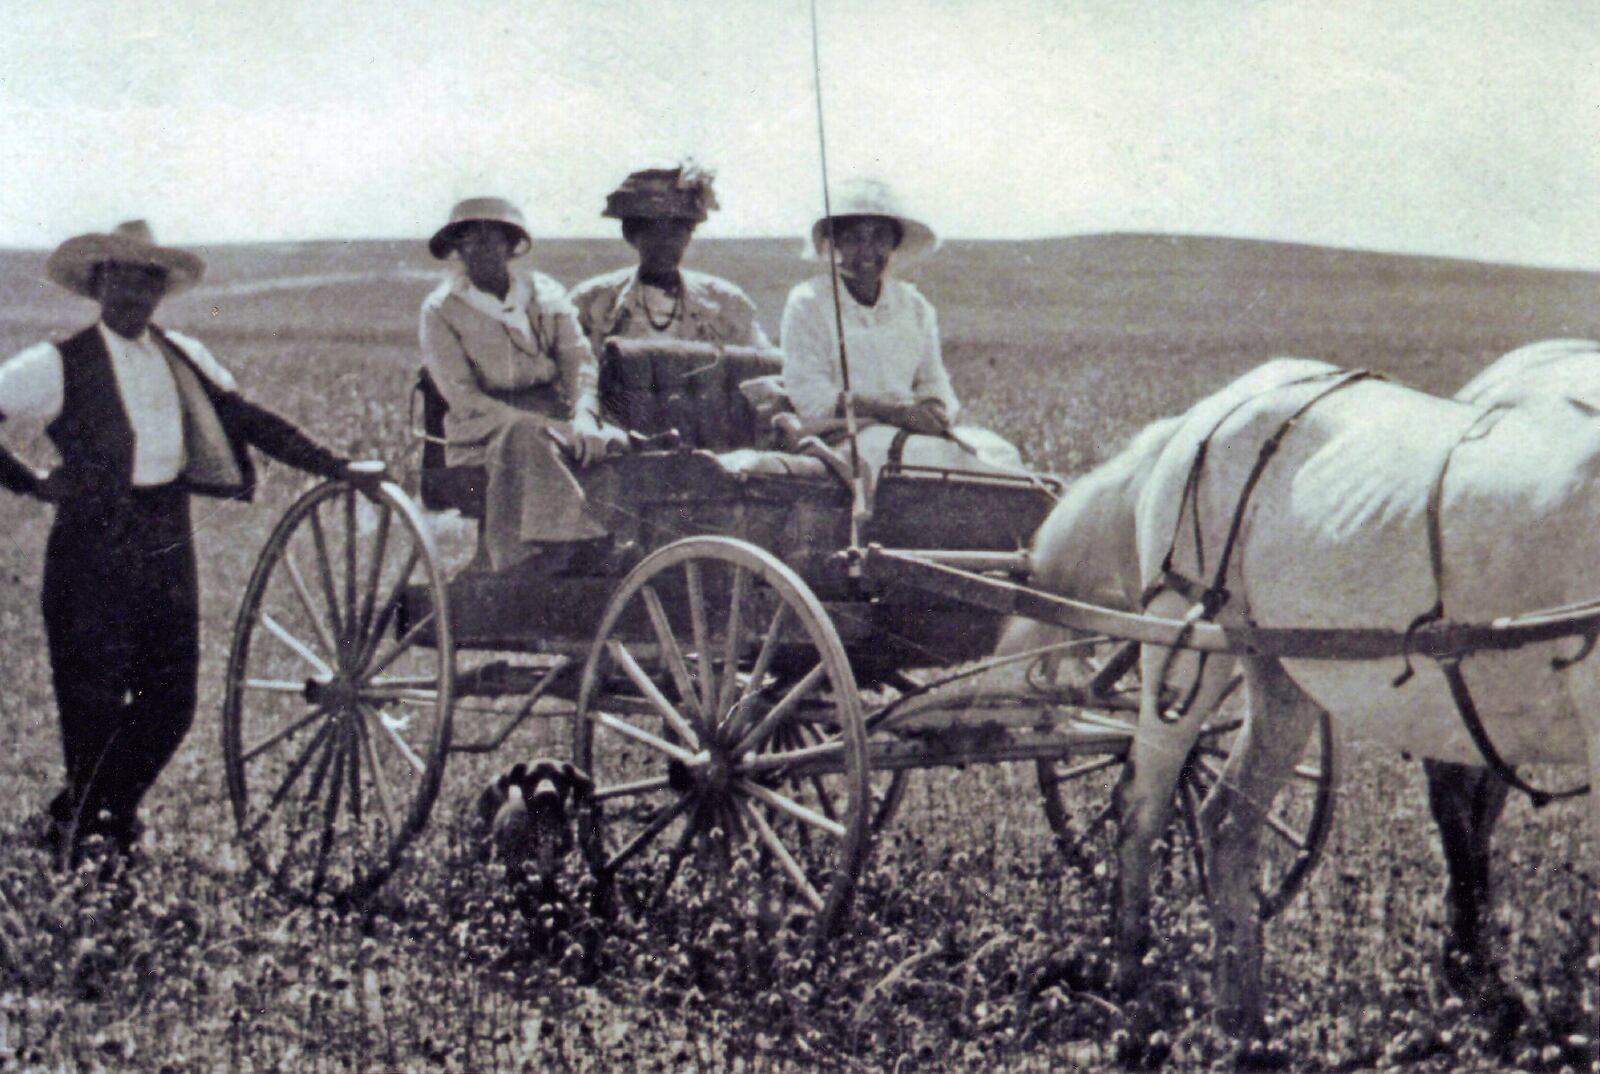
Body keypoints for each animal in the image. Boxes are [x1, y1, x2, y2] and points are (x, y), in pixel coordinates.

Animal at [1120, 363, 1600, 1043]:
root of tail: (1216, 406)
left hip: (1280, 675)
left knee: (1228, 820)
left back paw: (1241, 1014)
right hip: (1181, 643)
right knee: (1143, 804)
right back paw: (1131, 977)